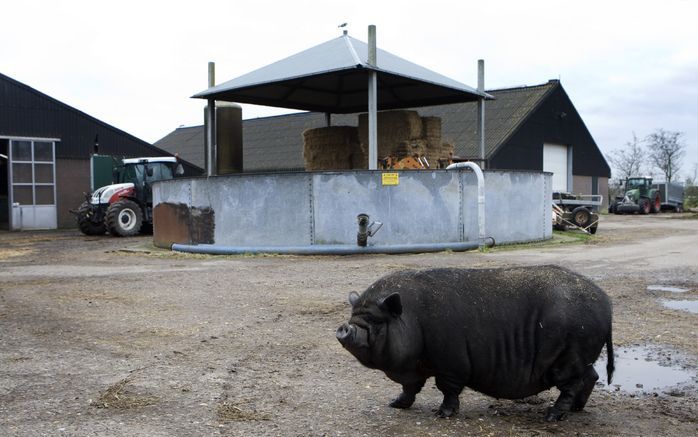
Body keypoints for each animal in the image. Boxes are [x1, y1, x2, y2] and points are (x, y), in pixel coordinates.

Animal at [334, 264, 612, 420]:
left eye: (376, 321)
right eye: (354, 315)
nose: (345, 327)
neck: (413, 319)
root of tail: (606, 303)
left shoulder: (450, 363)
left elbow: (447, 389)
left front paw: (442, 415)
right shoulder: (415, 368)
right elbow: (410, 388)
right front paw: (394, 405)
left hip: (569, 356)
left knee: (572, 384)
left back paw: (553, 416)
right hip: (581, 356)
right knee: (592, 376)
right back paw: (576, 409)